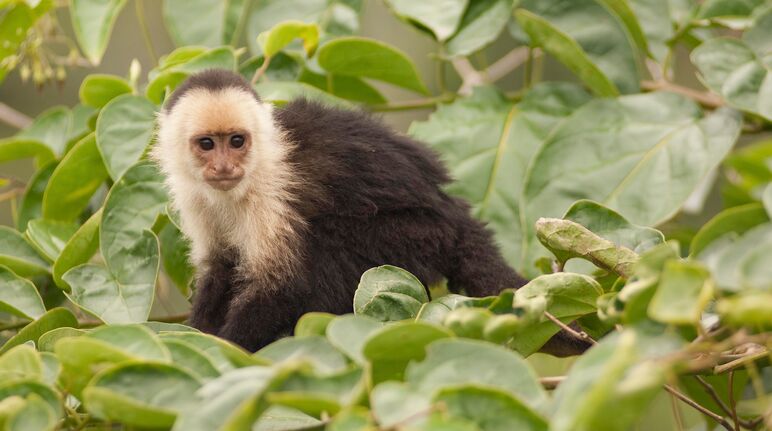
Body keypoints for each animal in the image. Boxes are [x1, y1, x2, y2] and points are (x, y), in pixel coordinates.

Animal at [154, 69, 588, 356]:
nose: (224, 167)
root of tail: (456, 216)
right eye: (207, 144)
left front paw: (225, 350)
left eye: (237, 141)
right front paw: (199, 333)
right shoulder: (193, 196)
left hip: (418, 236)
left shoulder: (272, 190)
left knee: (327, 240)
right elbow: (220, 265)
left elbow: (281, 285)